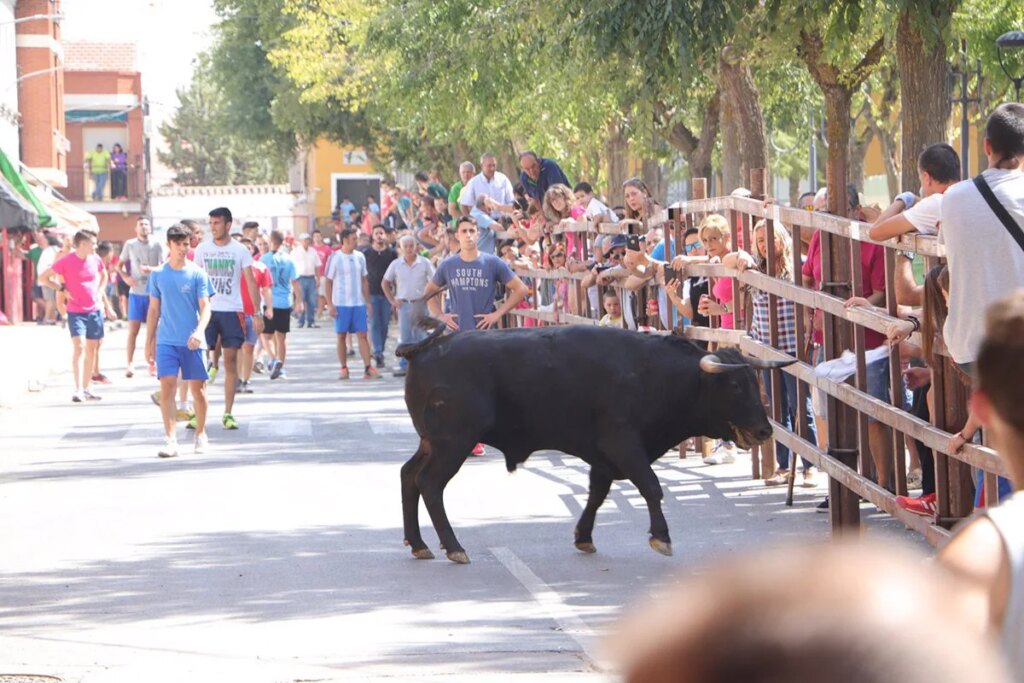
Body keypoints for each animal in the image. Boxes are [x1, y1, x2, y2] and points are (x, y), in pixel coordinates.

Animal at [395, 323, 786, 565]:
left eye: (754, 382)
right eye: (734, 386)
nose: (764, 431)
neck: (652, 373)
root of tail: (424, 348)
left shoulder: (604, 456)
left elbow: (597, 493)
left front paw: (583, 536)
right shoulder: (623, 444)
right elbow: (651, 486)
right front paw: (662, 537)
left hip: (432, 443)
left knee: (408, 475)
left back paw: (419, 545)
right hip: (453, 443)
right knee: (429, 484)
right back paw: (454, 547)